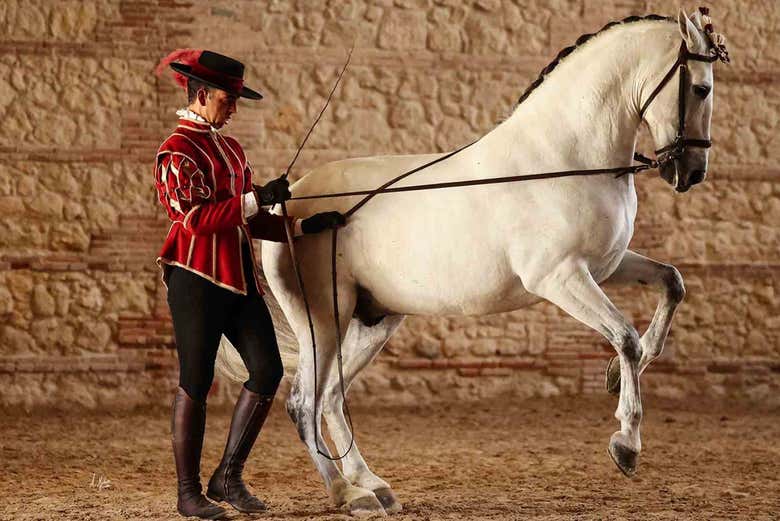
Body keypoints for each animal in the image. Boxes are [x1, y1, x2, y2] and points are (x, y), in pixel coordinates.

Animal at [217, 7, 725, 516]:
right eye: (701, 88)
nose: (691, 173)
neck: (566, 159)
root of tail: (284, 205)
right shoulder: (559, 277)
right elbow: (624, 336)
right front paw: (626, 443)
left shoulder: (606, 266)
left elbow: (672, 283)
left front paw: (613, 378)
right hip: (323, 320)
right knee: (304, 402)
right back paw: (350, 494)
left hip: (372, 321)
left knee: (331, 400)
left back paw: (374, 485)